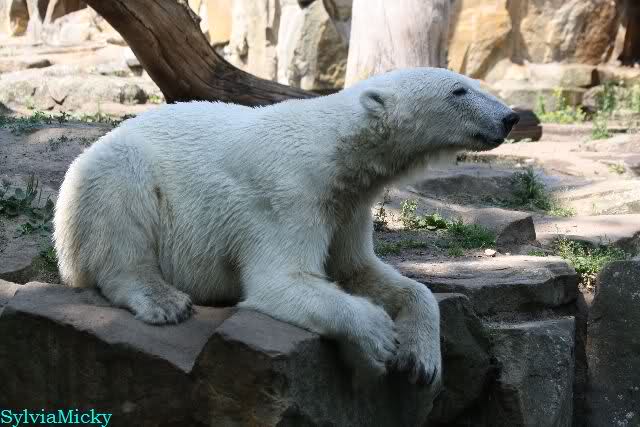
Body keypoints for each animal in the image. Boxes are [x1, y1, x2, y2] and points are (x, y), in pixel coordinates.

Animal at [53, 67, 518, 386]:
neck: (335, 148)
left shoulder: (348, 206)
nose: (511, 117)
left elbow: (358, 270)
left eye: (471, 82)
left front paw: (422, 359)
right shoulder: (287, 194)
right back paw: (163, 300)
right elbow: (281, 279)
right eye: (459, 91)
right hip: (106, 176)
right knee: (121, 210)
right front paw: (380, 335)